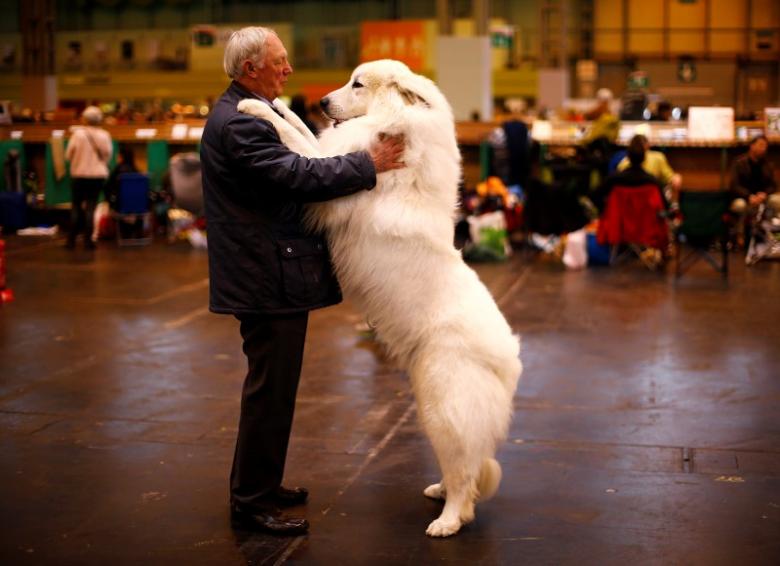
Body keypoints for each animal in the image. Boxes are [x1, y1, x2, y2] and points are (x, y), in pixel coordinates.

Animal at [235, 60, 520, 540]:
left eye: (357, 84)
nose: (322, 102)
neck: (399, 130)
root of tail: (510, 362)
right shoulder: (335, 154)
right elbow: (304, 132)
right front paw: (278, 106)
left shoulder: (331, 177)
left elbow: (298, 143)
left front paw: (253, 107)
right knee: (461, 467)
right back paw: (440, 493)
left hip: (442, 410)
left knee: (465, 475)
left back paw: (447, 522)